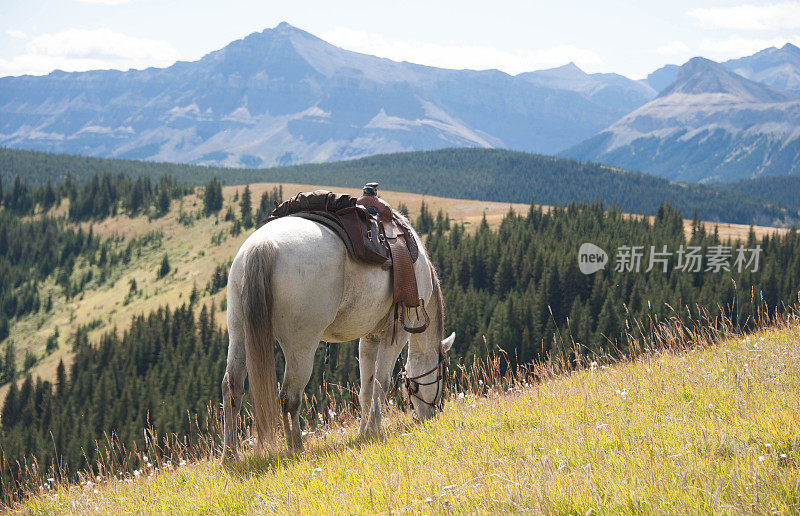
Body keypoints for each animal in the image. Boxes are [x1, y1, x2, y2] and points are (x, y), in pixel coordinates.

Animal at [222, 216, 454, 458]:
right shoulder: (397, 332)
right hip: (301, 347)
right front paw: (374, 429)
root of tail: (263, 245)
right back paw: (296, 449)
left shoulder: (370, 337)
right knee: (289, 397)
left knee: (231, 388)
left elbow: (366, 389)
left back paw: (230, 455)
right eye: (444, 375)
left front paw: (363, 432)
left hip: (239, 333)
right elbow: (381, 383)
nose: (432, 415)